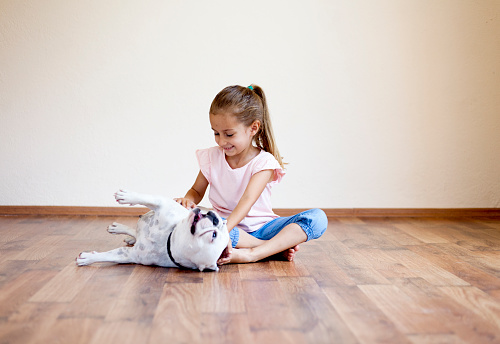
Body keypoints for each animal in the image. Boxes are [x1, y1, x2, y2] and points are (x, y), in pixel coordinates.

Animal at [76, 188, 230, 272]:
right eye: (221, 226)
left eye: (213, 235)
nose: (215, 219)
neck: (169, 239)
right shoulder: (164, 204)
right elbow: (147, 199)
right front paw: (127, 196)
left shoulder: (129, 255)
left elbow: (109, 255)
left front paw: (88, 258)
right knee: (135, 230)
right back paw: (121, 230)